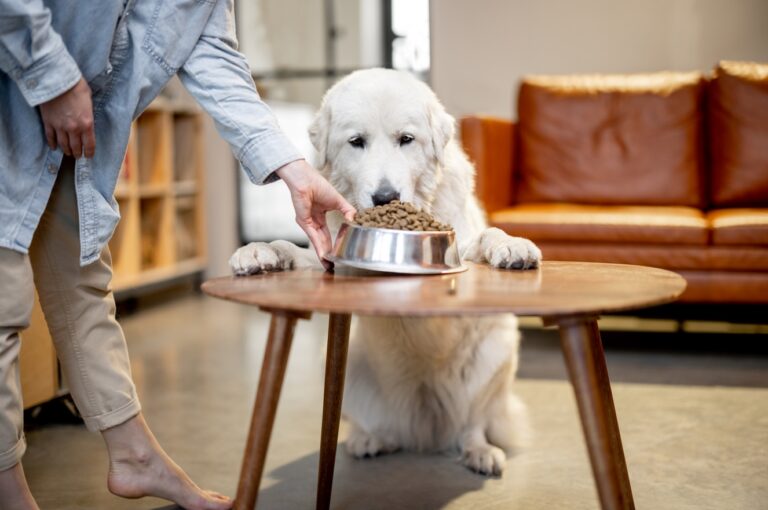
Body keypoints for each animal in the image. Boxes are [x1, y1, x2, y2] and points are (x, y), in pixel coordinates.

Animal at [228, 67, 540, 474]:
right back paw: (370, 440)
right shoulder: (329, 258)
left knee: (472, 423)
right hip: (347, 366)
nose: (385, 198)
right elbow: (286, 247)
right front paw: (257, 251)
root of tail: (425, 430)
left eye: (406, 139)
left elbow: (489, 234)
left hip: (496, 355)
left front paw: (512, 245)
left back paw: (480, 452)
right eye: (356, 142)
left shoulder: (462, 245)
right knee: (377, 424)